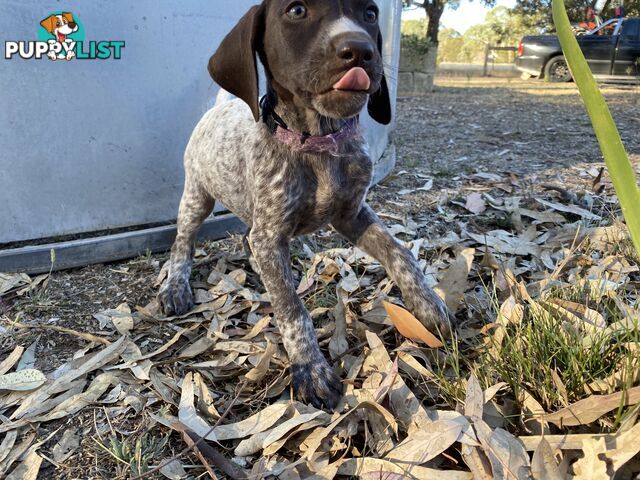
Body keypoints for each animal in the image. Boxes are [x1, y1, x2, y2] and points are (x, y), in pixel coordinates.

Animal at [159, 0, 450, 410]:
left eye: (371, 13)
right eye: (296, 10)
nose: (360, 50)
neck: (318, 144)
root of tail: (221, 106)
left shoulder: (351, 215)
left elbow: (400, 254)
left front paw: (428, 307)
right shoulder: (270, 234)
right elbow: (291, 308)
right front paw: (310, 369)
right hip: (197, 196)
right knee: (183, 241)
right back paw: (176, 285)